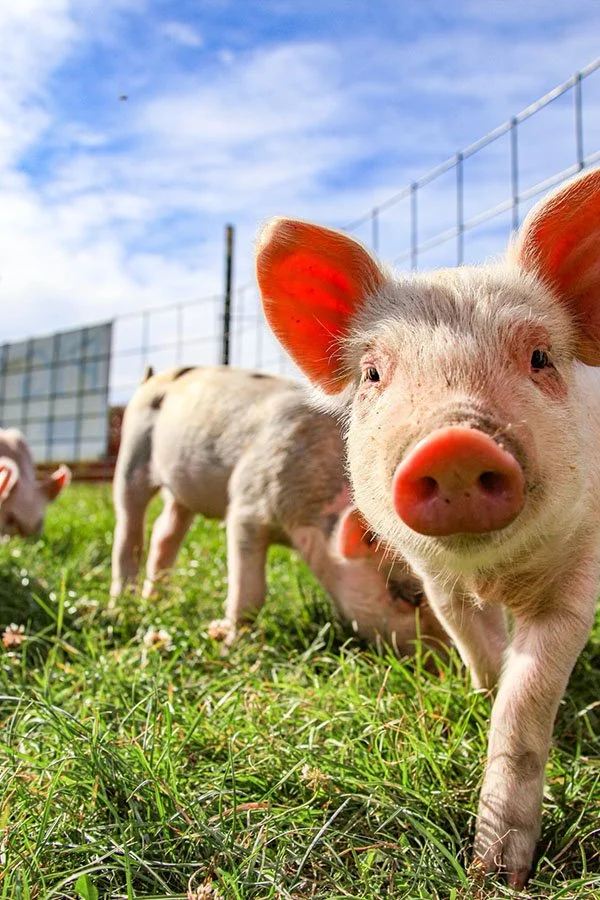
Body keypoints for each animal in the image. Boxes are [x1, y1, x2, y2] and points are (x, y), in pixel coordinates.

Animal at [110, 365, 449, 655]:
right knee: (129, 531)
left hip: (182, 491)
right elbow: (250, 592)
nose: (447, 668)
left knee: (164, 532)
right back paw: (121, 606)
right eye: (410, 596)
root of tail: (154, 377)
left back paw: (155, 601)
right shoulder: (247, 503)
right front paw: (230, 647)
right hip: (132, 450)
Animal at [256, 166, 600, 887]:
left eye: (539, 357)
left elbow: (527, 700)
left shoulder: (577, 572)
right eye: (372, 373)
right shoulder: (438, 583)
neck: (494, 573)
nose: (456, 445)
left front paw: (497, 876)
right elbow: (479, 650)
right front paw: (481, 689)